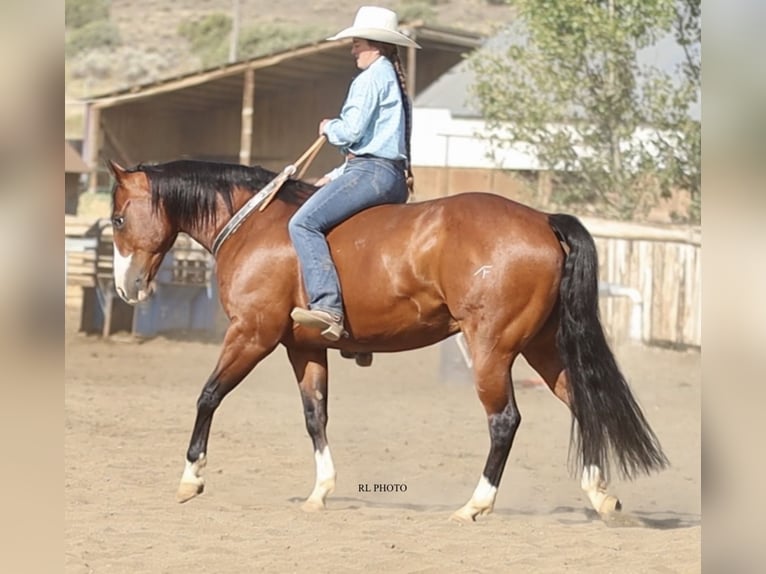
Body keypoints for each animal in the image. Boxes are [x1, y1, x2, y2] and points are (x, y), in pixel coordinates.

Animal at [107, 158, 668, 522]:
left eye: (117, 217)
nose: (126, 287)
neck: (256, 226)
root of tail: (543, 220)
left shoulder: (252, 334)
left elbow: (208, 395)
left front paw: (191, 477)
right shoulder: (304, 347)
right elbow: (315, 416)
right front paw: (321, 491)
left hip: (493, 351)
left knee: (505, 421)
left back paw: (476, 504)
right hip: (544, 348)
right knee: (584, 402)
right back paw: (601, 497)